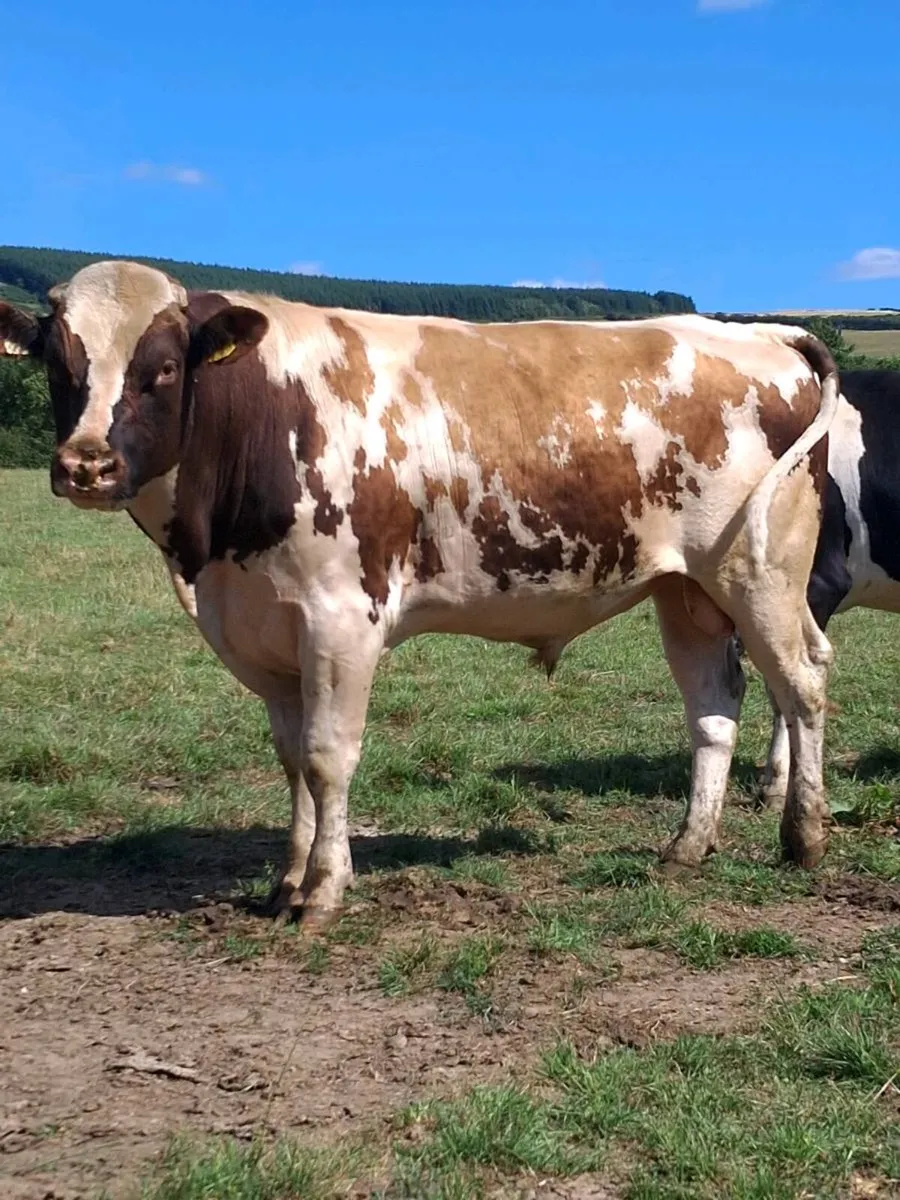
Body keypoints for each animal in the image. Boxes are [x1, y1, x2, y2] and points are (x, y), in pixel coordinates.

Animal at [0, 260, 839, 931]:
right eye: (57, 360)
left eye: (166, 367)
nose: (87, 465)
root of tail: (764, 335)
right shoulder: (261, 630)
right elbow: (291, 759)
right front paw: (286, 882)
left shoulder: (342, 620)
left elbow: (328, 756)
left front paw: (323, 891)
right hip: (686, 590)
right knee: (713, 708)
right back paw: (689, 845)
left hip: (760, 570)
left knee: (802, 684)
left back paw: (803, 837)